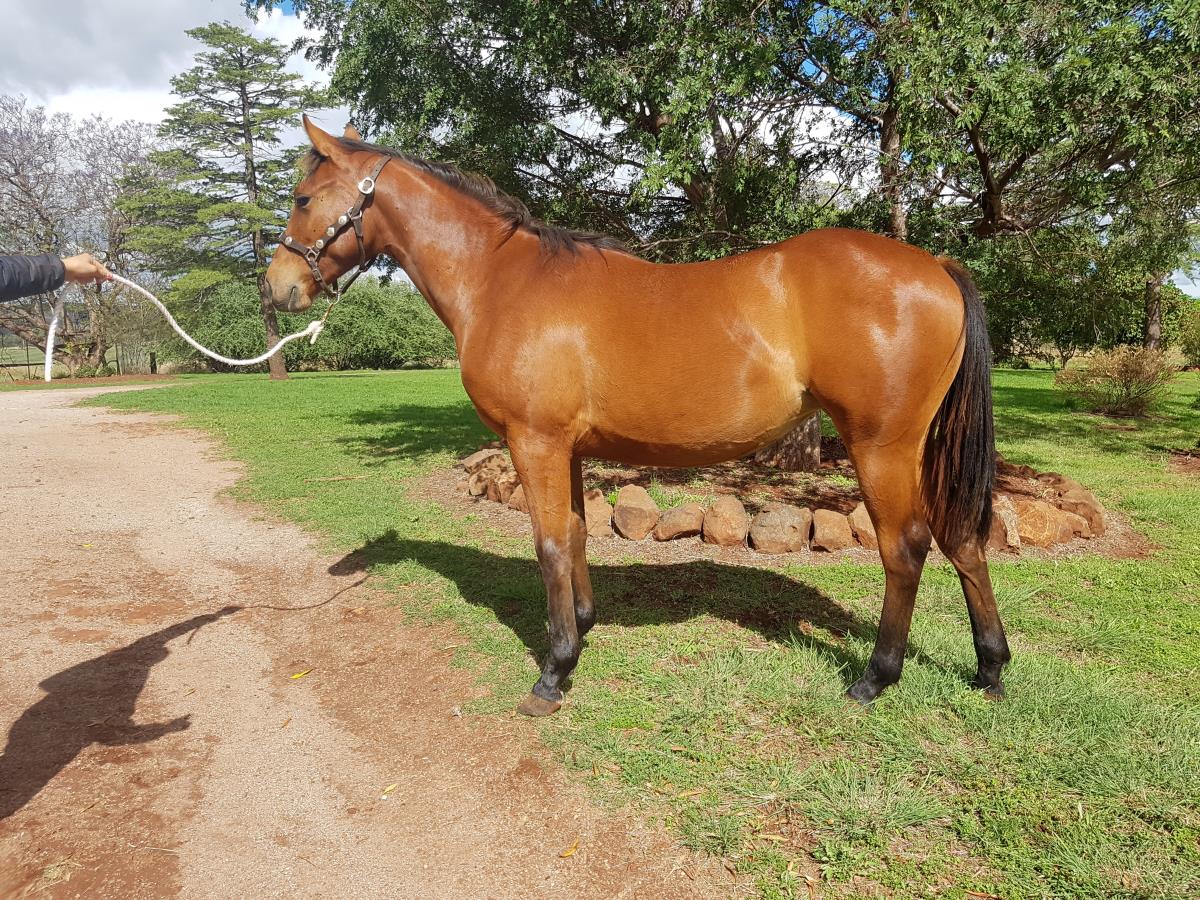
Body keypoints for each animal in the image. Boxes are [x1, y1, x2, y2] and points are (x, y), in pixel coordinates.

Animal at [265, 116, 1010, 717]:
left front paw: (553, 674)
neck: (503, 282)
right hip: (922, 448)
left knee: (905, 548)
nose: (276, 289)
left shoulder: (534, 443)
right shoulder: (565, 448)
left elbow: (549, 544)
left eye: (302, 198)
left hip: (882, 446)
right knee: (961, 538)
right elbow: (574, 532)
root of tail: (936, 266)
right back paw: (990, 667)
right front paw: (581, 629)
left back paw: (875, 678)